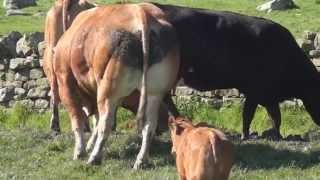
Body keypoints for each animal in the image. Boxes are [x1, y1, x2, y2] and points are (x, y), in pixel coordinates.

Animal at [53, 2, 181, 168]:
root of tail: (142, 12)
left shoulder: (65, 81)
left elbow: (78, 119)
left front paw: (80, 150)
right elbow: (95, 120)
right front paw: (89, 144)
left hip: (107, 92)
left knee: (106, 123)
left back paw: (94, 157)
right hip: (155, 93)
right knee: (149, 126)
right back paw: (140, 161)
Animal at [153, 3, 320, 141]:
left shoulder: (268, 95)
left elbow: (276, 116)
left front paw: (278, 136)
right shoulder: (255, 90)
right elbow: (249, 114)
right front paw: (245, 135)